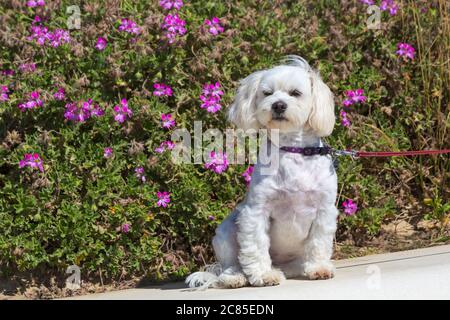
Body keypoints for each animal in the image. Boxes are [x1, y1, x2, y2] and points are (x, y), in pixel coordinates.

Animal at [186, 56, 338, 288]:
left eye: (295, 93)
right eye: (267, 93)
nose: (278, 105)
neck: (292, 149)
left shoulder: (324, 210)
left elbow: (318, 243)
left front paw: (319, 268)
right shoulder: (256, 211)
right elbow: (256, 245)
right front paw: (265, 275)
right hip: (226, 231)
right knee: (231, 265)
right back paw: (235, 277)